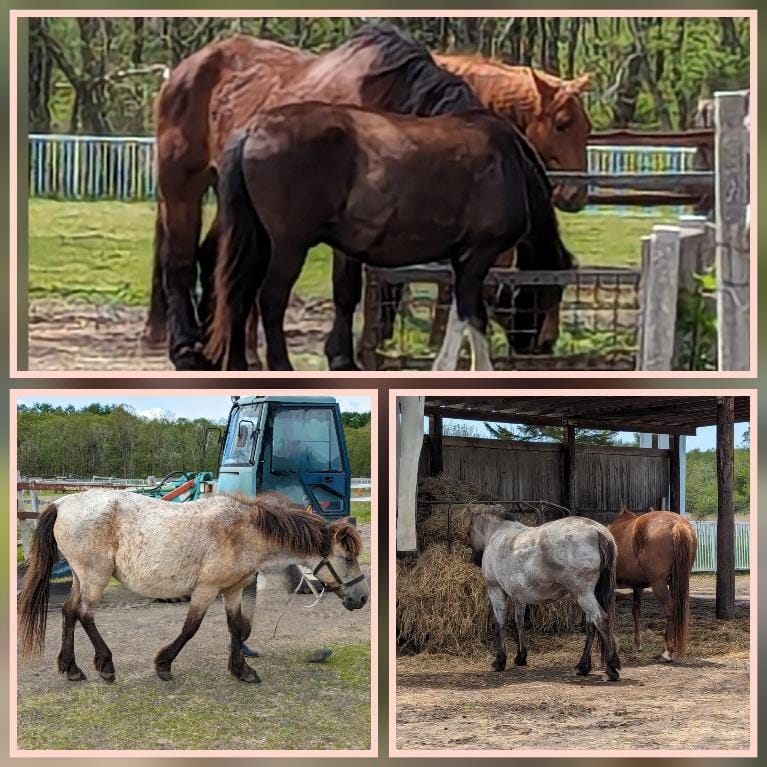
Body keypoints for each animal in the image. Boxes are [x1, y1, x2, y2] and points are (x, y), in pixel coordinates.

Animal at [17, 492, 366, 684]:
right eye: (348, 557)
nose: (362, 598)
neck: (244, 532)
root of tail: (62, 502)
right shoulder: (206, 590)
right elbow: (190, 628)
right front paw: (163, 664)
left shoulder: (233, 590)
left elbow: (237, 628)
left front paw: (242, 670)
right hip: (96, 577)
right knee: (84, 614)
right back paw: (105, 665)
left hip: (82, 576)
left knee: (69, 612)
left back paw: (72, 668)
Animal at [204, 103, 576, 374]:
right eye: (549, 293)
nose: (542, 346)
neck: (511, 164)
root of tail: (253, 130)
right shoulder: (476, 255)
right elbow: (468, 314)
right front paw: (452, 367)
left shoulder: (461, 259)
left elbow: (473, 316)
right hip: (289, 246)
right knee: (270, 299)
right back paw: (281, 366)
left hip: (259, 241)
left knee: (238, 295)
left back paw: (237, 365)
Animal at [468, 512, 624, 680]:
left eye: (469, 532)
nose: (474, 560)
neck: (498, 533)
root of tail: (596, 530)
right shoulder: (519, 597)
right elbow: (519, 623)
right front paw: (521, 657)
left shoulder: (495, 590)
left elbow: (500, 624)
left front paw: (499, 661)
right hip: (588, 595)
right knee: (591, 626)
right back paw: (583, 667)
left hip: (584, 595)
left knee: (601, 620)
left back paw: (610, 668)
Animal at [608, 510, 700, 660]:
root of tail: (677, 524)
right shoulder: (637, 585)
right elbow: (636, 610)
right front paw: (637, 644)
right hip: (677, 581)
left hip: (659, 583)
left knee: (670, 609)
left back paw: (668, 651)